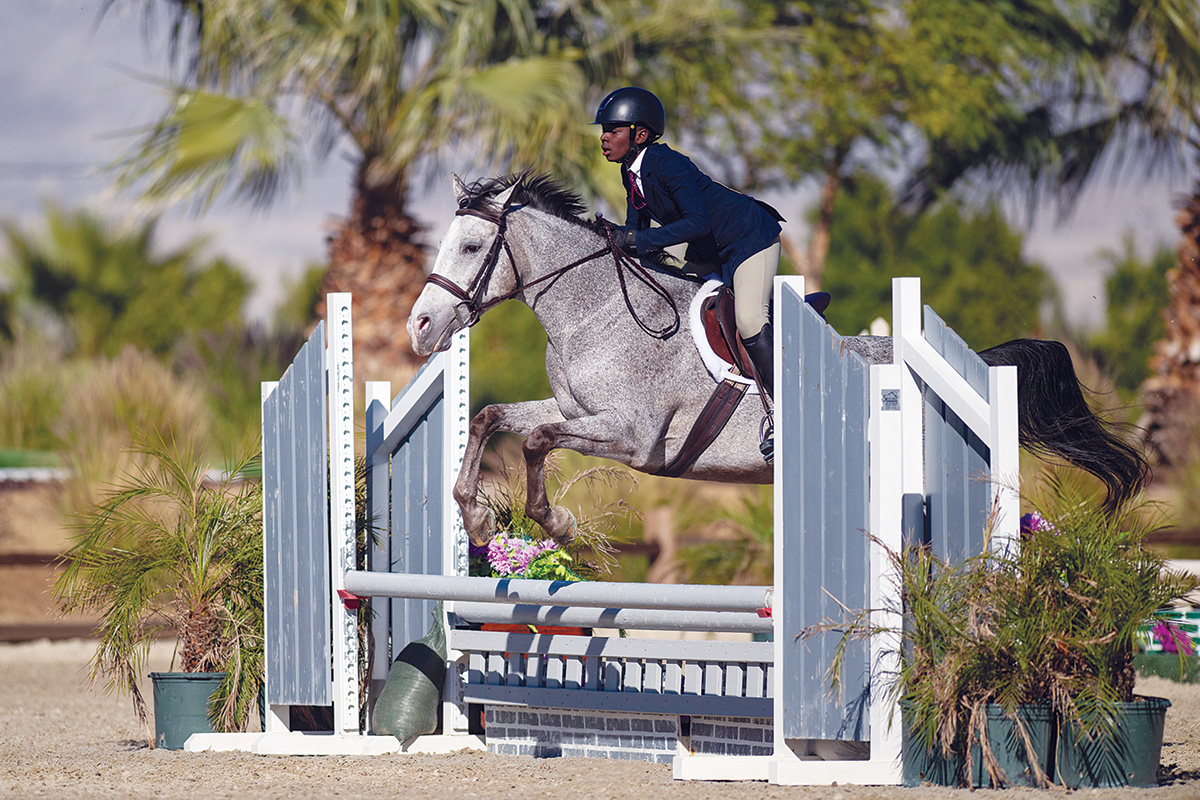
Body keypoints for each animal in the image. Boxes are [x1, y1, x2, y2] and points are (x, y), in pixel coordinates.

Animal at [408, 173, 1147, 546]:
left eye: (471, 248)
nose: (421, 327)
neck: (597, 311)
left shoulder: (633, 436)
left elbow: (535, 439)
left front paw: (553, 522)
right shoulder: (574, 411)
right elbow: (494, 416)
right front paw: (475, 516)